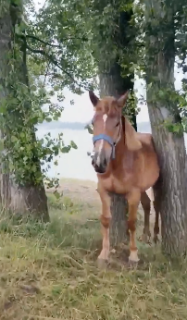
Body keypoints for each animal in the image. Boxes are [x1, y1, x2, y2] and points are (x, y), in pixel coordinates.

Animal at [89, 90, 161, 264]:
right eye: (93, 122)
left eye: (116, 124)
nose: (99, 162)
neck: (119, 164)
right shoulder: (103, 190)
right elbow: (105, 219)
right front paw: (104, 254)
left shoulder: (133, 194)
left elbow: (131, 222)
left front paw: (134, 255)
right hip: (142, 189)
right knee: (147, 205)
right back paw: (145, 235)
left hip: (156, 184)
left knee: (157, 205)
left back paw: (155, 236)